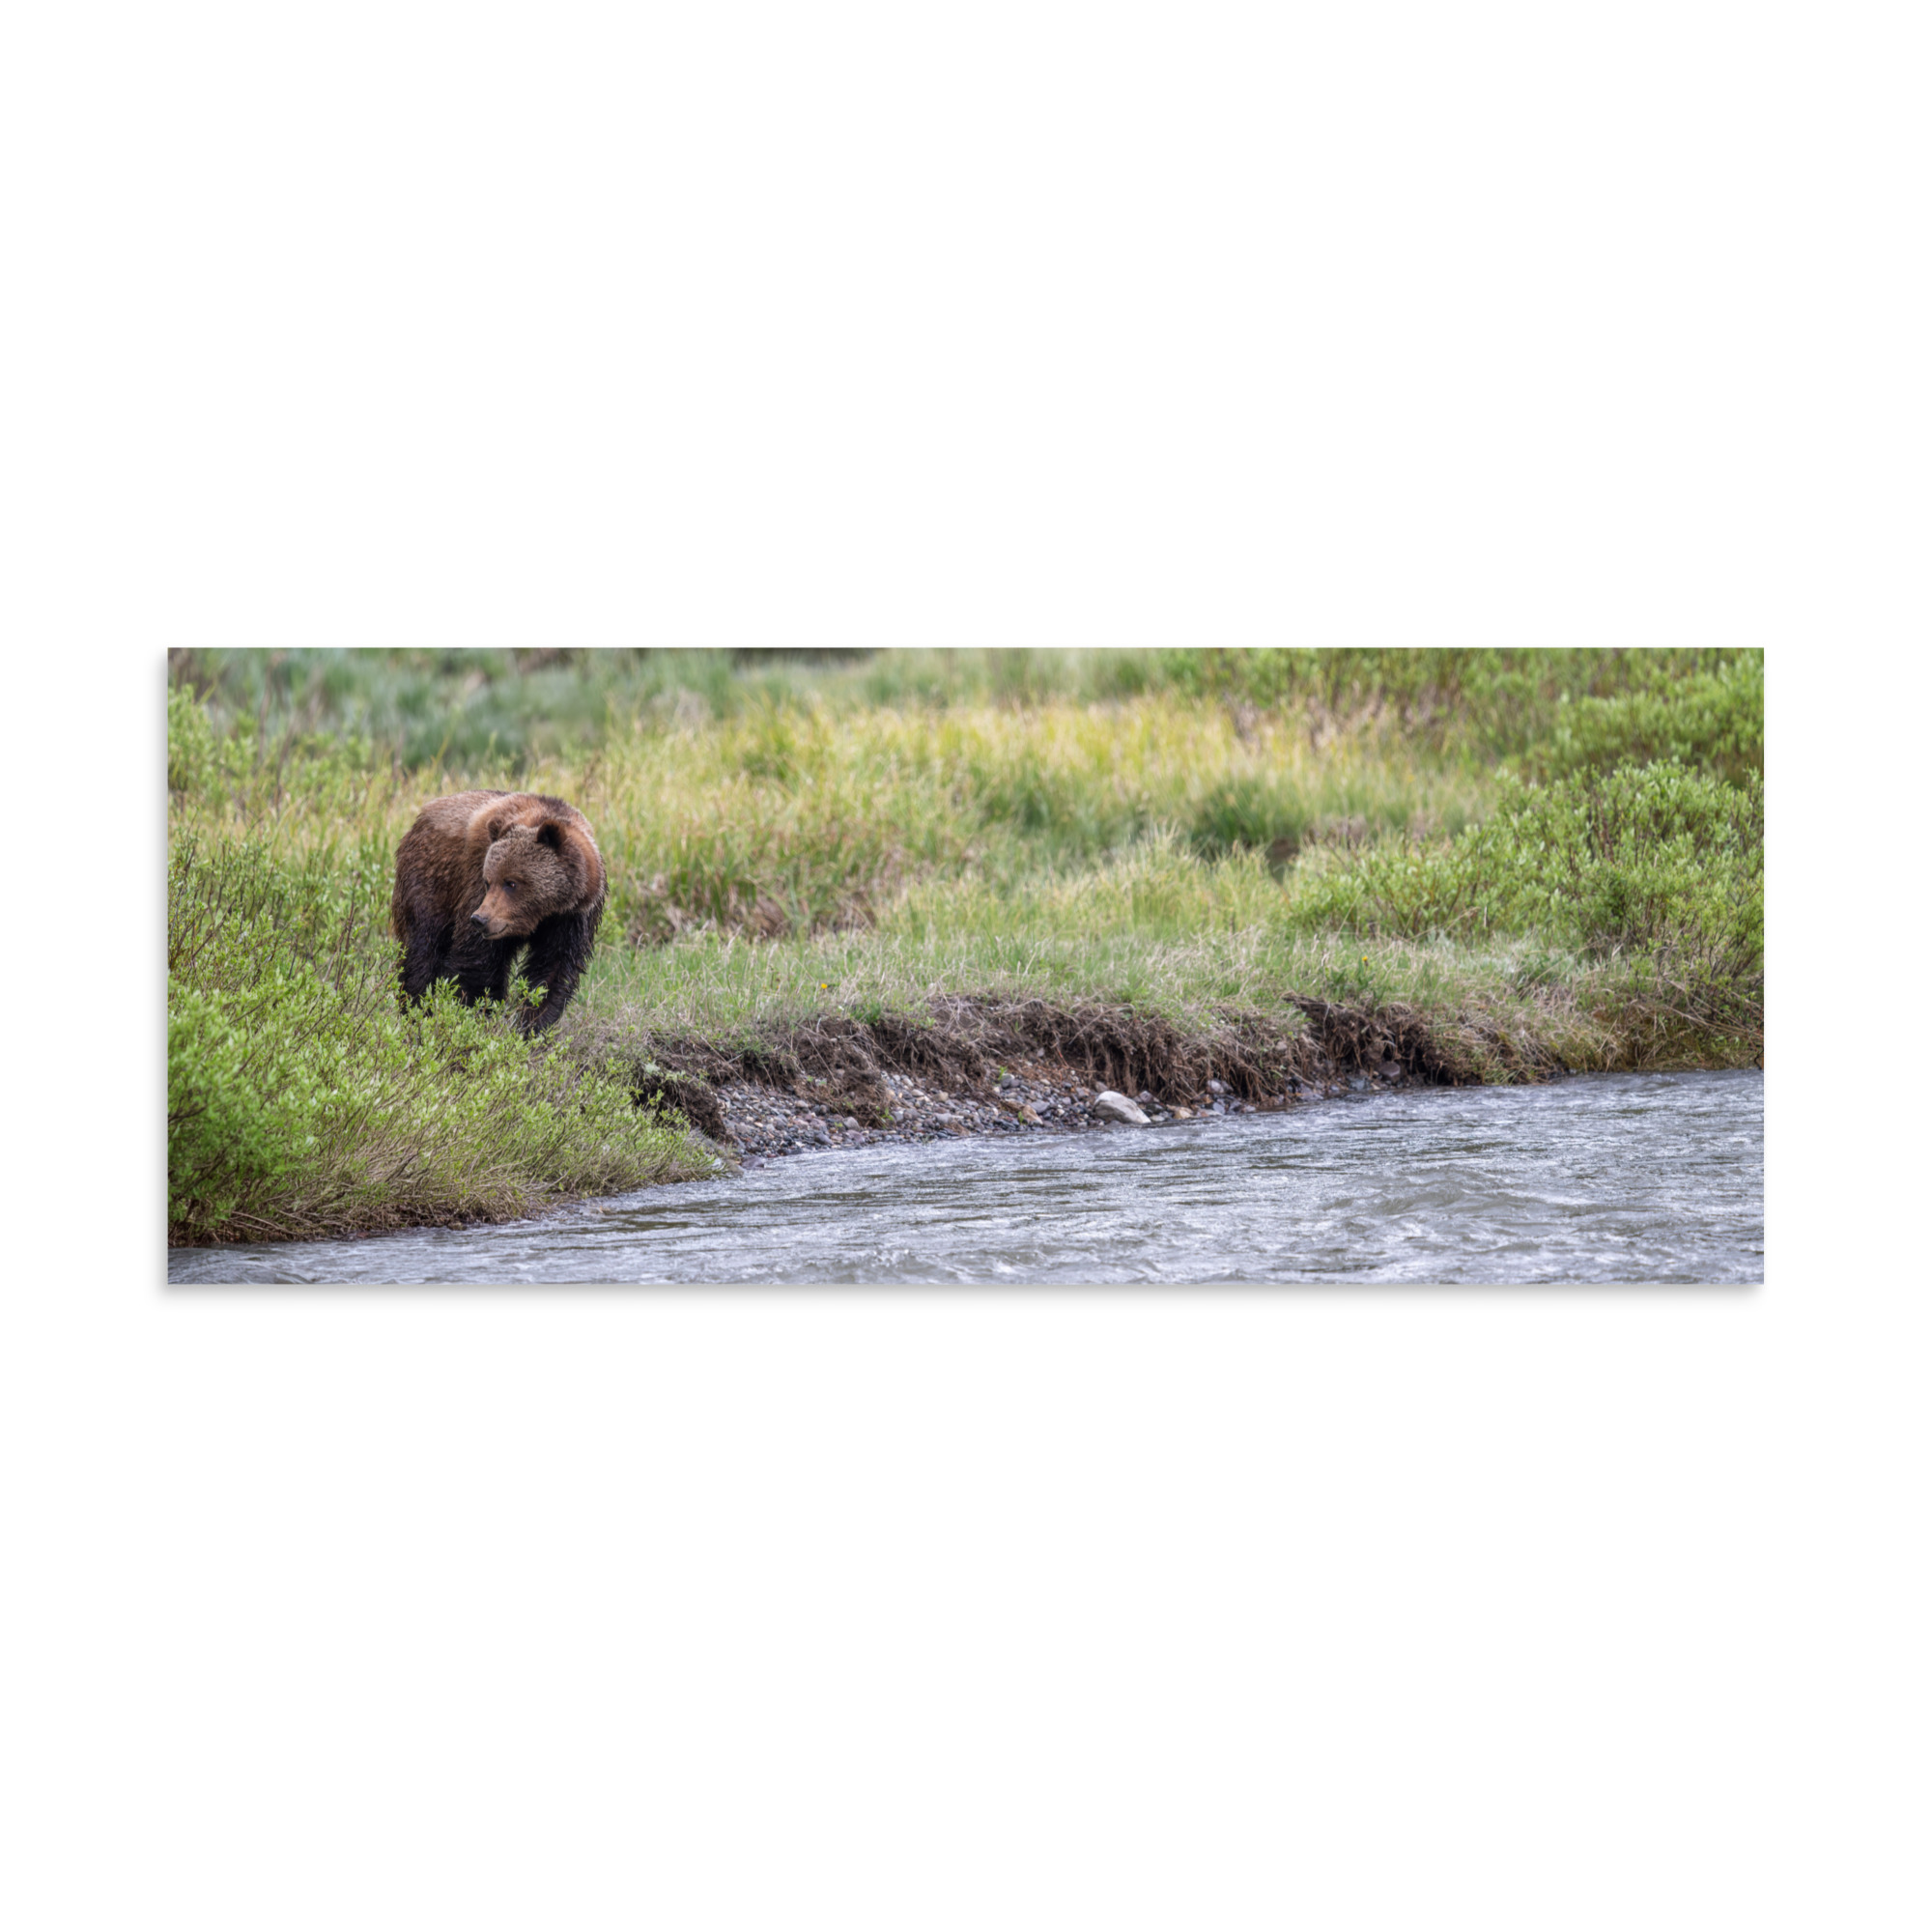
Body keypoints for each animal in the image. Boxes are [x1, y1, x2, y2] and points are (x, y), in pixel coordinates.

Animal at [391, 790, 607, 1033]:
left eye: (511, 883)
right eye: (488, 881)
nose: (480, 919)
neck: (543, 913)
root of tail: (421, 816)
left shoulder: (572, 919)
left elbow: (552, 972)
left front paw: (532, 1025)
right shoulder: (475, 885)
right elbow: (478, 962)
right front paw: (475, 1016)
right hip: (431, 882)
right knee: (422, 950)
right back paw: (416, 1012)